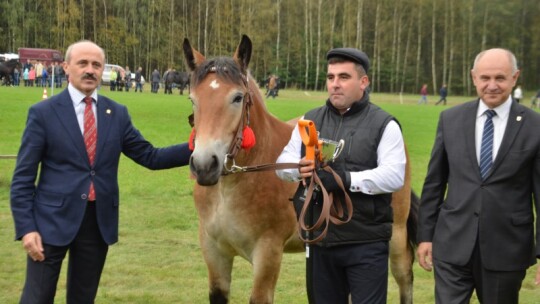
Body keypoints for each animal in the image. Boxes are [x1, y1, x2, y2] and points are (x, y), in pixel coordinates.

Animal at [185, 34, 418, 302]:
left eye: (237, 97)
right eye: (193, 100)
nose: (204, 164)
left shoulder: (268, 253)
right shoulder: (214, 253)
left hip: (396, 237)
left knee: (404, 277)